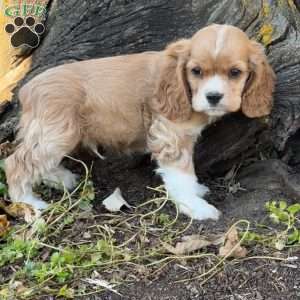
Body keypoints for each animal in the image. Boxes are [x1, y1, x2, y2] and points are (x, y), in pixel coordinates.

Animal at [5, 24, 276, 220]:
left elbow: (188, 173)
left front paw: (196, 190)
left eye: (235, 73)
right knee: (15, 163)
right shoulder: (170, 136)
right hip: (57, 133)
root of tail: (27, 90)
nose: (213, 97)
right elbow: (181, 176)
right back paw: (30, 202)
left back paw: (60, 179)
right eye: (196, 71)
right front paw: (195, 206)